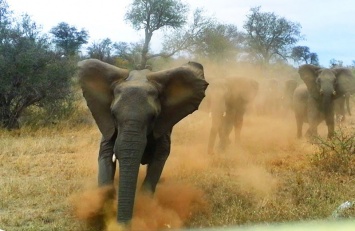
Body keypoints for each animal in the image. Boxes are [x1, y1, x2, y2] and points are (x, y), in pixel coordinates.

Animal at [76, 58, 207, 225]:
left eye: (153, 117)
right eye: (113, 115)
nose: (123, 226)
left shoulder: (163, 125)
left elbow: (159, 158)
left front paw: (145, 208)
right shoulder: (107, 123)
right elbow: (105, 155)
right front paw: (102, 211)